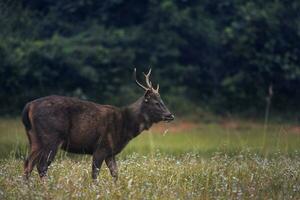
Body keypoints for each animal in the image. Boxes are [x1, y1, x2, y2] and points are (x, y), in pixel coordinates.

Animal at [22, 69, 175, 180]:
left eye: (162, 101)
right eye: (156, 103)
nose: (170, 115)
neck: (126, 126)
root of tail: (29, 106)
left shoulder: (110, 152)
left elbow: (115, 174)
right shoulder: (101, 147)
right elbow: (95, 174)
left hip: (34, 139)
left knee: (28, 163)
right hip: (52, 137)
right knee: (41, 165)